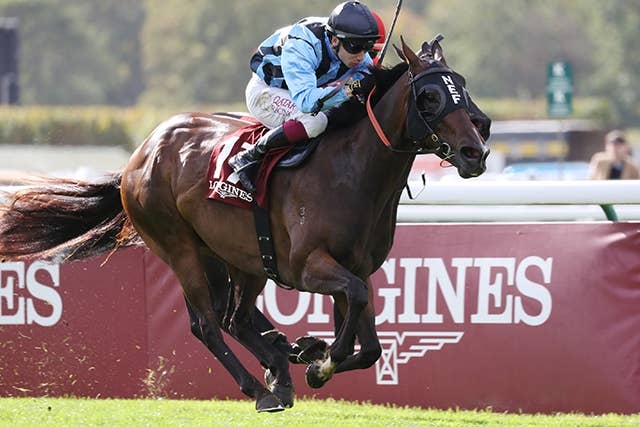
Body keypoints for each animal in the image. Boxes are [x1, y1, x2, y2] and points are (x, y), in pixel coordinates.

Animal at [0, 38, 489, 412]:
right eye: (430, 96)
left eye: (463, 92)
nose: (476, 151)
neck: (353, 171)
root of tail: (139, 154)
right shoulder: (308, 265)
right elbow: (352, 306)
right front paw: (321, 363)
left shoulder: (358, 266)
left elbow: (368, 342)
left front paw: (313, 355)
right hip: (179, 248)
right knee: (208, 324)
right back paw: (262, 385)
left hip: (238, 256)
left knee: (234, 316)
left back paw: (282, 359)